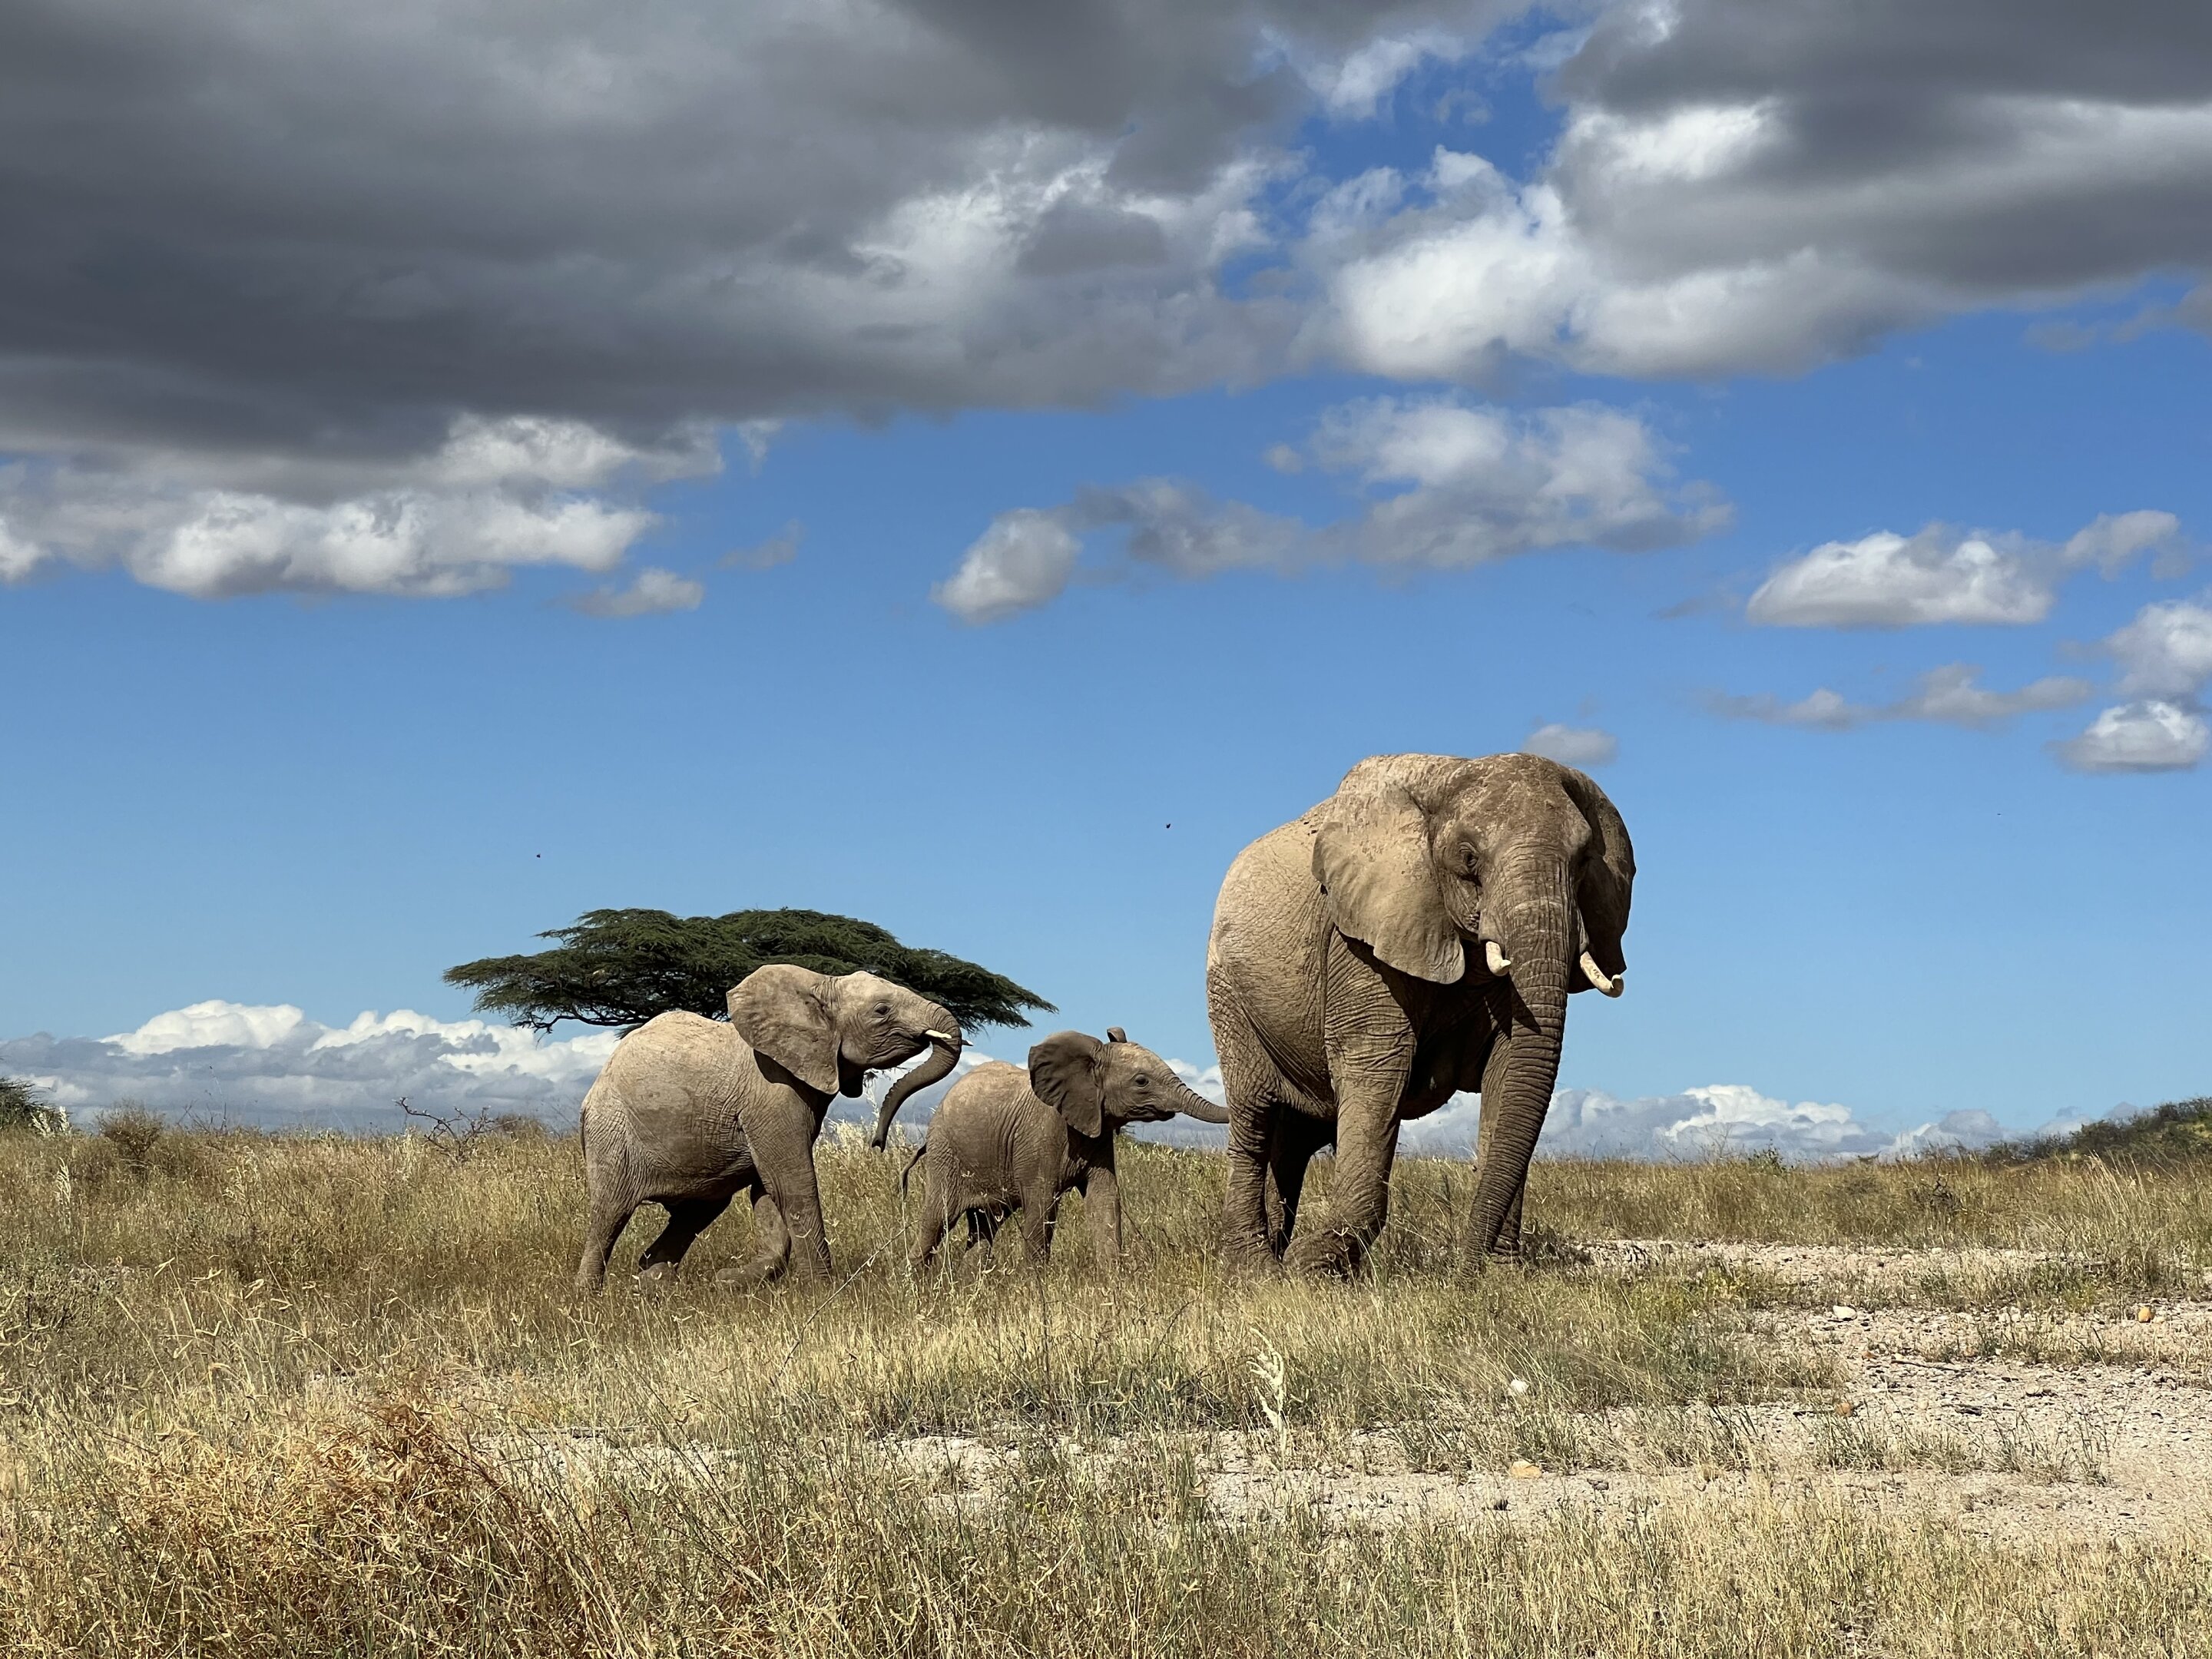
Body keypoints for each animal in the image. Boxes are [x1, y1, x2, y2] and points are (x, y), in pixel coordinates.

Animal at [573, 964, 961, 1291]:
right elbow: (792, 1183)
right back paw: (590, 1297)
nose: (877, 1143)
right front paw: (823, 1290)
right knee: (610, 1213)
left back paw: (654, 1288)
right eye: (882, 1011)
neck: (820, 985)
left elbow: (768, 1190)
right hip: (612, 1130)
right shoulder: (772, 1092)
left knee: (696, 1213)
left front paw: (731, 1280)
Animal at [904, 1027, 1228, 1269]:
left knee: (985, 1225)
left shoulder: (1097, 1132)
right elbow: (1042, 1205)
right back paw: (918, 1285)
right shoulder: (1040, 1136)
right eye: (1141, 1081)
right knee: (937, 1218)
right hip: (946, 1153)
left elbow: (1105, 1199)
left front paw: (1113, 1279)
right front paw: (1035, 1285)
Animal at [1207, 752, 1633, 1275]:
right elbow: (1376, 1062)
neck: (1451, 777)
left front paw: (1502, 1275)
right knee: (1254, 1116)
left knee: (1293, 1138)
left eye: (1584, 862)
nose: (1463, 1270)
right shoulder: (1359, 937)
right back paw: (1256, 1269)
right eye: (1469, 859)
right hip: (1228, 992)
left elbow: (1510, 1074)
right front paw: (1314, 1269)